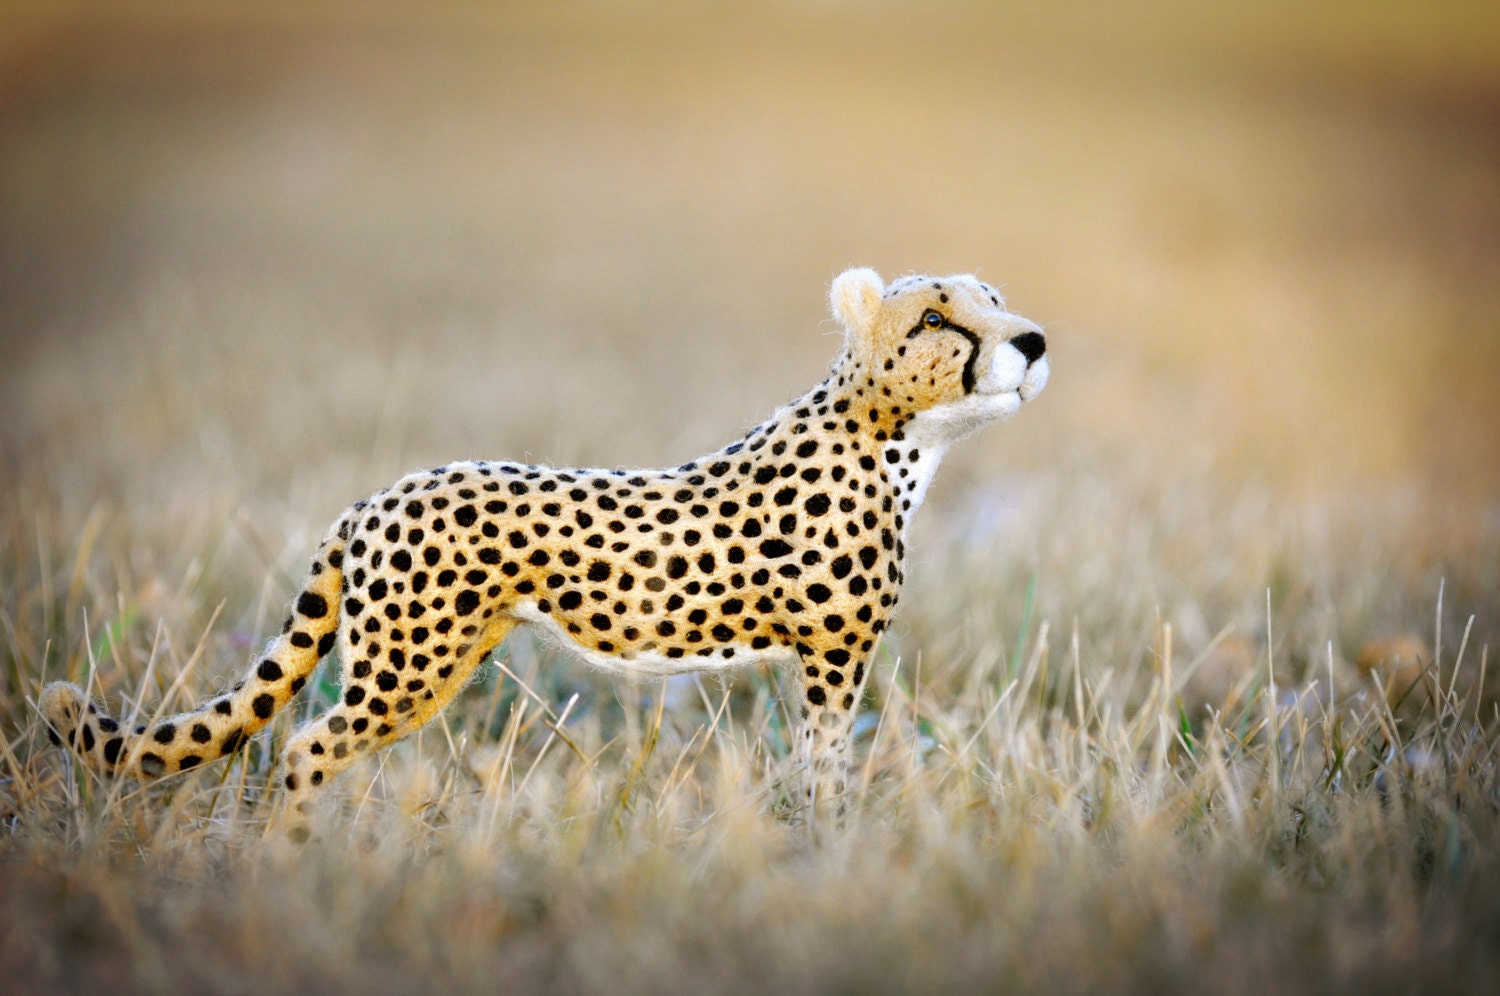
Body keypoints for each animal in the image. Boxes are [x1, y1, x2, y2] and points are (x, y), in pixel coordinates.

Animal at [40, 267, 1049, 838]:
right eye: (938, 322)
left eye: (998, 303)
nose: (1034, 342)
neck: (889, 438)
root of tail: (378, 494)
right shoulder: (833, 655)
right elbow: (825, 762)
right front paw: (830, 846)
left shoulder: (824, 657)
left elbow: (816, 759)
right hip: (406, 667)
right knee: (304, 742)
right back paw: (294, 859)